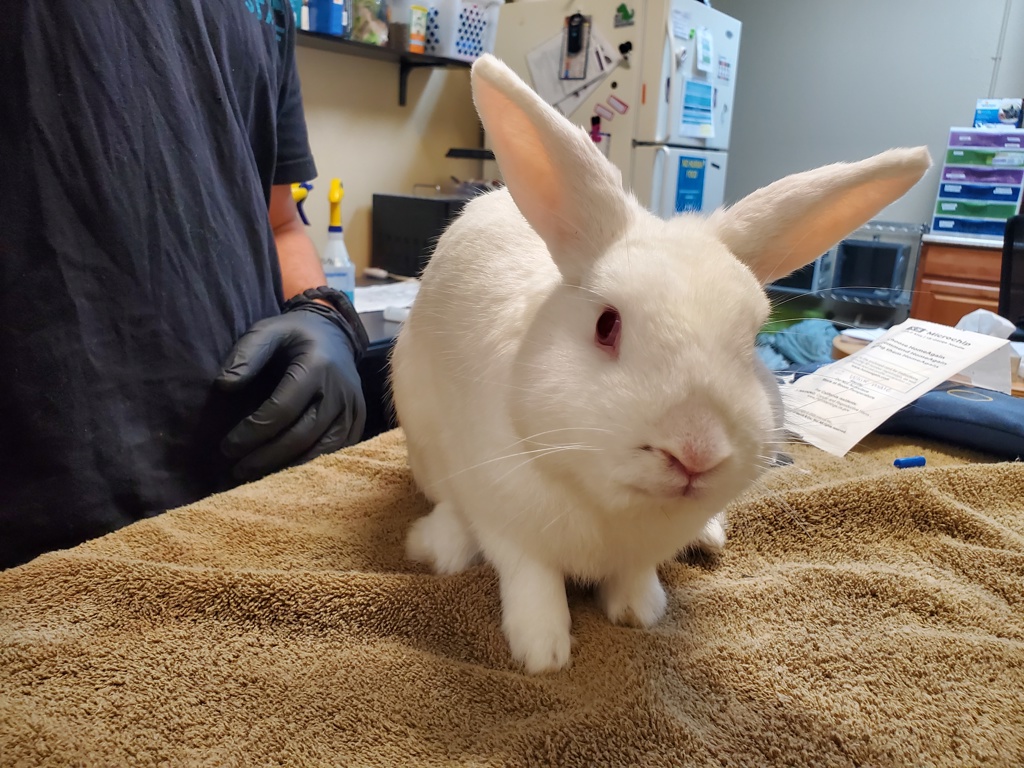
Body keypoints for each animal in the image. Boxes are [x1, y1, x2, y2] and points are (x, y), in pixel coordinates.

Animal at [389, 53, 931, 674]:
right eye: (607, 325)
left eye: (752, 341)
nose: (694, 451)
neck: (615, 509)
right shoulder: (508, 521)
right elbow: (532, 580)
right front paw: (543, 652)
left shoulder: (636, 550)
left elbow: (634, 576)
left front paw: (639, 612)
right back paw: (439, 545)